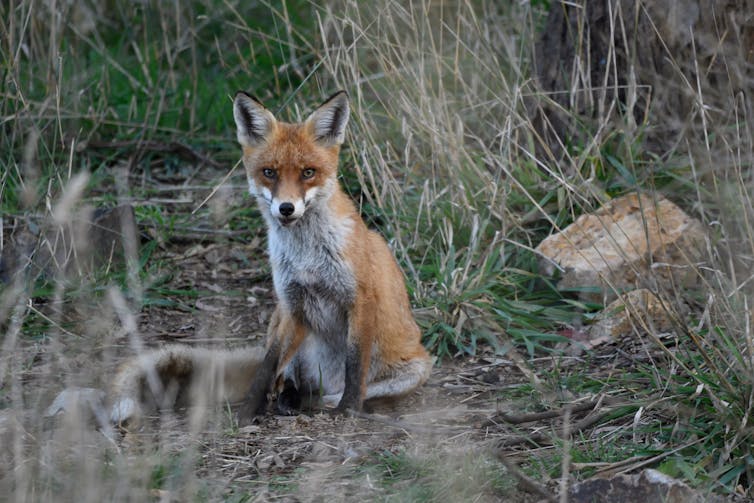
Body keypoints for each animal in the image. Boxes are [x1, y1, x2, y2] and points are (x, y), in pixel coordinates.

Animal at [108, 89, 432, 426]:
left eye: (308, 172)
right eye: (269, 172)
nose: (286, 208)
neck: (307, 256)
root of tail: (325, 384)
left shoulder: (361, 300)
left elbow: (356, 367)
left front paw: (349, 411)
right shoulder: (292, 304)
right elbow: (267, 365)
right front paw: (248, 411)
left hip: (416, 369)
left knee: (344, 391)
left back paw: (328, 403)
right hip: (286, 326)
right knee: (286, 378)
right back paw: (288, 400)